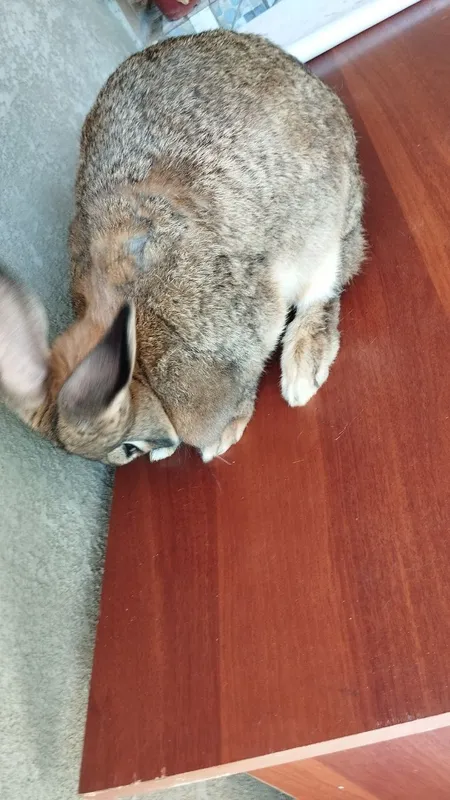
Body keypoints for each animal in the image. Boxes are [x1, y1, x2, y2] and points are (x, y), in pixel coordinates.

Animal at [0, 30, 364, 466]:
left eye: (127, 447)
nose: (161, 449)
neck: (136, 357)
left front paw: (220, 436)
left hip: (323, 226)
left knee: (328, 286)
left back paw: (303, 370)